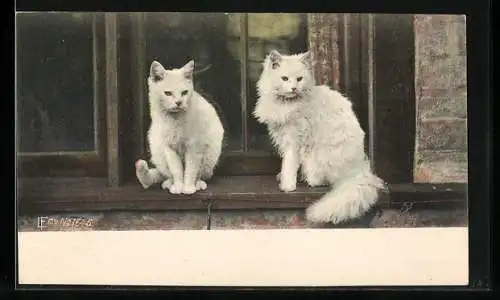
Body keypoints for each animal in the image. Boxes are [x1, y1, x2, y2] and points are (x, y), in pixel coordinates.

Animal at [136, 59, 224, 195]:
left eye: (184, 92)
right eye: (168, 93)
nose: (178, 102)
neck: (175, 121)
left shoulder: (194, 148)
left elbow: (190, 170)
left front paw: (188, 188)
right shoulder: (169, 149)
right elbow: (177, 170)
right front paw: (178, 186)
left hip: (210, 155)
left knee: (201, 175)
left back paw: (198, 184)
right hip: (157, 150)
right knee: (167, 175)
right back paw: (169, 184)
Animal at [254, 49, 386, 224]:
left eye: (299, 79)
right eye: (285, 79)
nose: (294, 88)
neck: (285, 104)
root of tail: (361, 171)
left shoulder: (294, 140)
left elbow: (289, 164)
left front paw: (287, 186)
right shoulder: (283, 137)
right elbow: (287, 164)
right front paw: (283, 178)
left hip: (314, 158)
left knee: (318, 181)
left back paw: (307, 180)